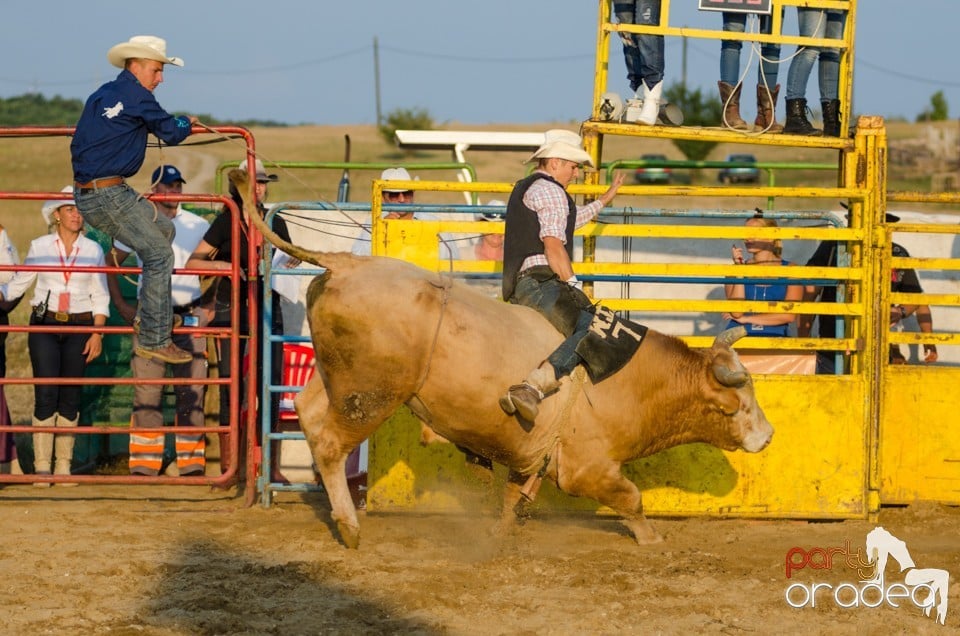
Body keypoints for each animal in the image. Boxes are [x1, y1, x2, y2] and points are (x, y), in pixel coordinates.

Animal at [231, 169, 772, 548]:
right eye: (737, 399)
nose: (767, 436)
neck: (633, 377)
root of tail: (344, 261)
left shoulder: (530, 457)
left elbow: (515, 498)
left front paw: (502, 532)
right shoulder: (588, 468)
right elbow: (630, 497)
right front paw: (651, 537)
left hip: (336, 378)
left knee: (307, 411)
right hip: (370, 394)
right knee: (328, 442)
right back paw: (349, 526)